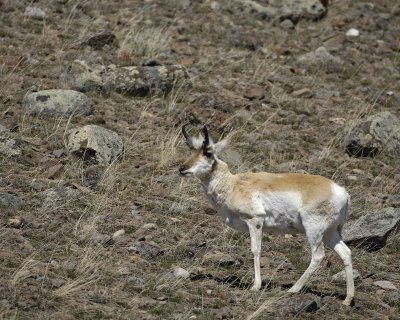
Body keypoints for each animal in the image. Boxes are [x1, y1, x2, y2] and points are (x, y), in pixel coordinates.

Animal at [180, 124, 354, 304]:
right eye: (191, 150)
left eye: (208, 152)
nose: (182, 168)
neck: (233, 184)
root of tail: (342, 192)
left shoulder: (255, 222)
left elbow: (255, 250)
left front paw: (256, 285)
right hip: (330, 233)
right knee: (345, 253)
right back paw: (347, 299)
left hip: (314, 230)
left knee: (318, 256)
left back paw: (293, 289)